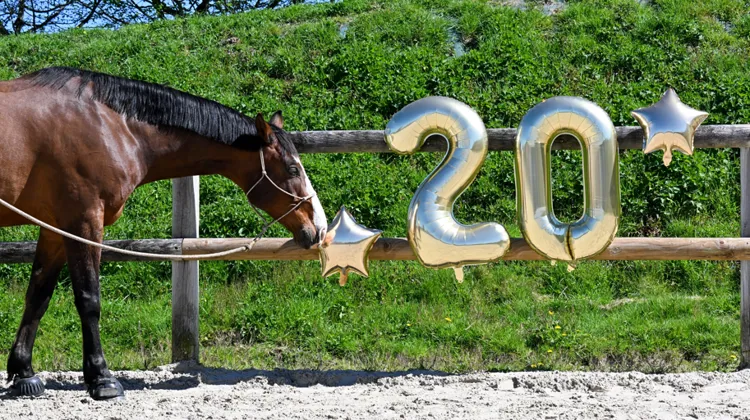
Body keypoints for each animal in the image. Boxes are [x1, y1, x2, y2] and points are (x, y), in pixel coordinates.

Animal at [0, 67, 328, 400]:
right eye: (292, 168)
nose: (318, 227)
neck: (109, 125)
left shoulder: (54, 228)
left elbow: (38, 296)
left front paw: (24, 373)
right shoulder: (84, 222)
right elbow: (89, 299)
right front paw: (101, 378)